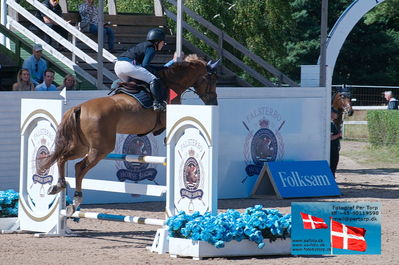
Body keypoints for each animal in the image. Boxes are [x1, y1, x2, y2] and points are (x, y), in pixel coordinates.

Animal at [40, 54, 220, 214]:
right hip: (100, 148)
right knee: (79, 167)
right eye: (212, 79)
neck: (171, 83)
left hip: (81, 146)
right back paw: (76, 200)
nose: (214, 102)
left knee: (62, 158)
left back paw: (59, 185)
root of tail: (79, 107)